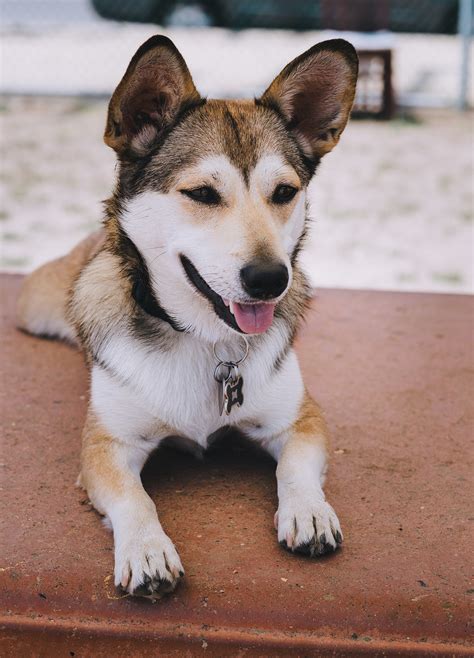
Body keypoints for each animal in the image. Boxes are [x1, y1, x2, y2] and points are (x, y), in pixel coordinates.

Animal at [18, 37, 360, 600]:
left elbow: (295, 466)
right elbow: (134, 497)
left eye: (284, 193)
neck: (206, 339)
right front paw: (147, 550)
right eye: (202, 193)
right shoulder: (105, 445)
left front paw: (309, 511)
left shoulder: (300, 418)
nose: (271, 279)